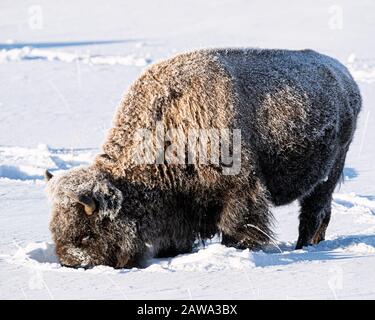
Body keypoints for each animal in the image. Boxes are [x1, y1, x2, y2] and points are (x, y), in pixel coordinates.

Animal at [44, 47, 362, 268]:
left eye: (88, 233)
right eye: (55, 228)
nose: (71, 263)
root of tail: (347, 80)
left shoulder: (240, 191)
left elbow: (239, 226)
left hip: (326, 177)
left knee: (312, 213)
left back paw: (302, 247)